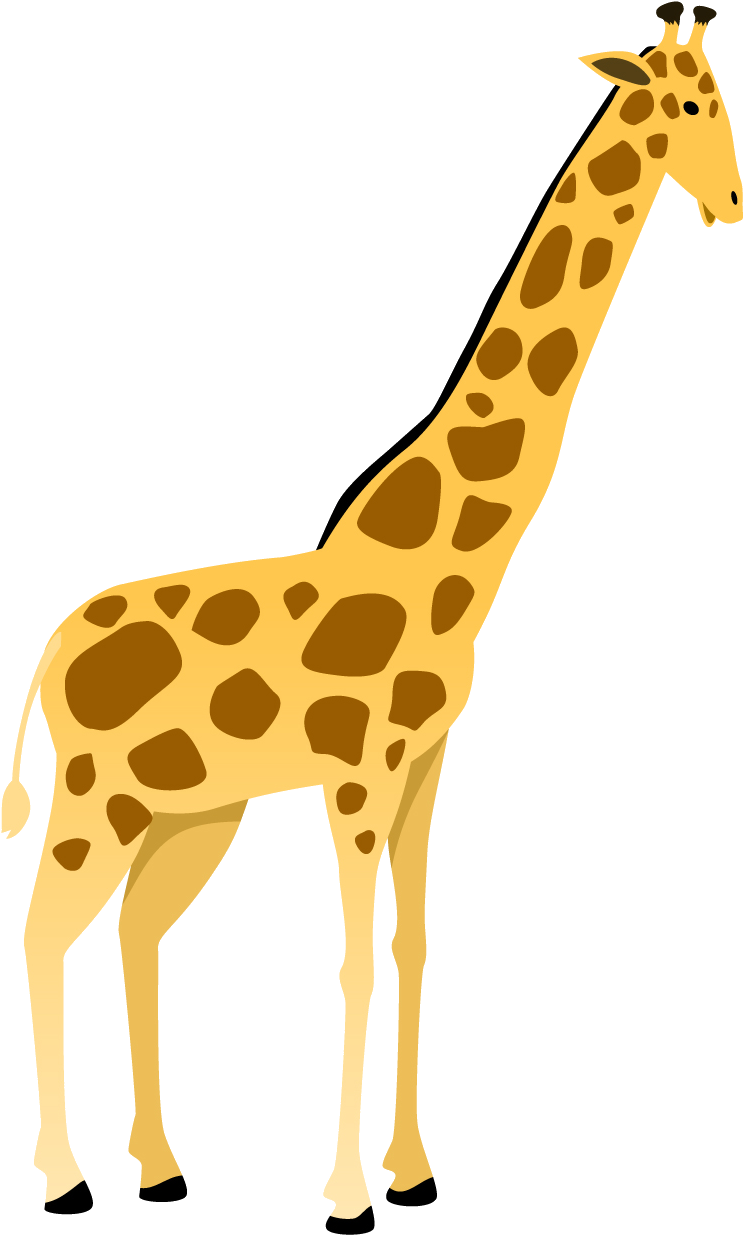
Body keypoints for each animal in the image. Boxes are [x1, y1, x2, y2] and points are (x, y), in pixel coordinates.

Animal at [2, 4, 740, 1230]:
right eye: (684, 104)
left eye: (722, 101)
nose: (729, 201)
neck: (449, 557)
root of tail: (51, 651)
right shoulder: (356, 772)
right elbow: (348, 957)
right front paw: (346, 1189)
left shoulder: (429, 761)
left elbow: (413, 941)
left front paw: (414, 1167)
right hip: (95, 799)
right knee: (43, 929)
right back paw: (64, 1177)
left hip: (188, 812)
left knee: (134, 934)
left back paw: (158, 1166)